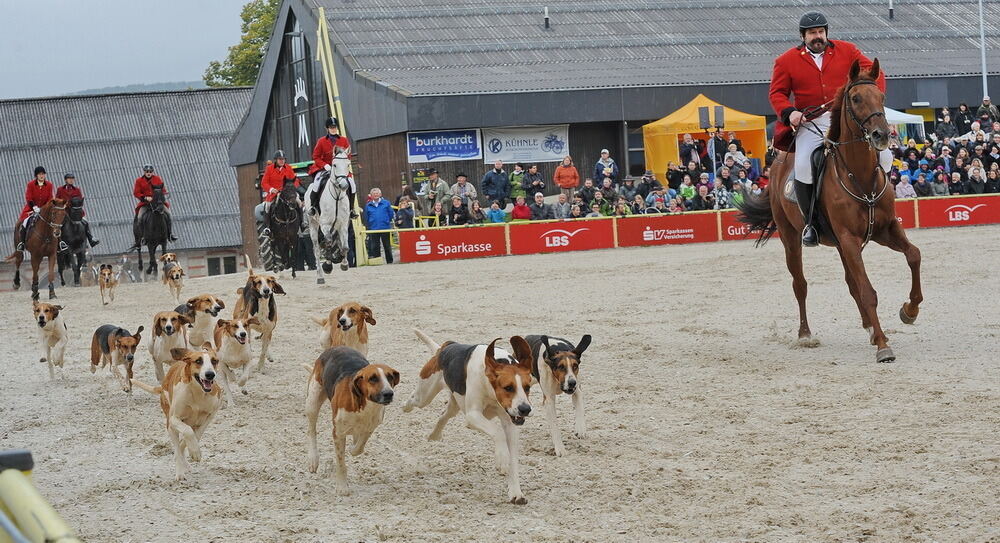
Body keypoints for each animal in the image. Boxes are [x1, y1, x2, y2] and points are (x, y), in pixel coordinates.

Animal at [132, 346, 222, 482]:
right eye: (198, 361)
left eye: (214, 361)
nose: (210, 374)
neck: (197, 392)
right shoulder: (174, 419)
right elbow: (187, 432)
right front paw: (195, 452)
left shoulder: (210, 415)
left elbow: (195, 435)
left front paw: (193, 451)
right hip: (170, 425)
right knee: (178, 444)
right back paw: (180, 473)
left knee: (182, 444)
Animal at [302, 348, 400, 498]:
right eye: (373, 378)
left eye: (390, 377)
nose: (389, 393)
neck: (365, 405)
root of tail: (333, 349)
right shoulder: (338, 433)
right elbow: (341, 463)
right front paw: (342, 487)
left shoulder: (371, 426)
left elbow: (359, 447)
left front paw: (353, 448)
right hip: (313, 401)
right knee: (311, 430)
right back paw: (313, 459)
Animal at [306, 150, 354, 282]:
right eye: (334, 165)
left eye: (348, 164)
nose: (344, 185)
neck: (337, 196)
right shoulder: (325, 225)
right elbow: (327, 242)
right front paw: (327, 265)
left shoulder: (343, 225)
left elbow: (345, 247)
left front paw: (343, 263)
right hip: (313, 225)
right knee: (317, 250)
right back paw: (320, 276)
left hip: (335, 227)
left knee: (335, 241)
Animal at [402, 332, 536, 506]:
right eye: (508, 388)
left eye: (527, 388)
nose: (525, 409)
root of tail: (446, 346)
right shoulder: (473, 416)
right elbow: (497, 432)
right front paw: (502, 459)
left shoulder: (510, 422)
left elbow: (512, 457)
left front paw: (516, 493)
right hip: (424, 395)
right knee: (414, 399)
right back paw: (404, 406)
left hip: (454, 404)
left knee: (444, 416)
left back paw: (434, 435)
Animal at [736, 59, 920, 364]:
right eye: (856, 98)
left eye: (881, 97)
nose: (882, 135)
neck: (860, 175)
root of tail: (777, 164)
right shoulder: (849, 239)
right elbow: (868, 291)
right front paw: (884, 346)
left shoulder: (885, 230)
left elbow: (913, 256)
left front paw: (909, 310)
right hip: (792, 239)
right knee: (800, 284)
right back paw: (805, 334)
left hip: (842, 246)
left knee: (850, 282)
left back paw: (870, 328)